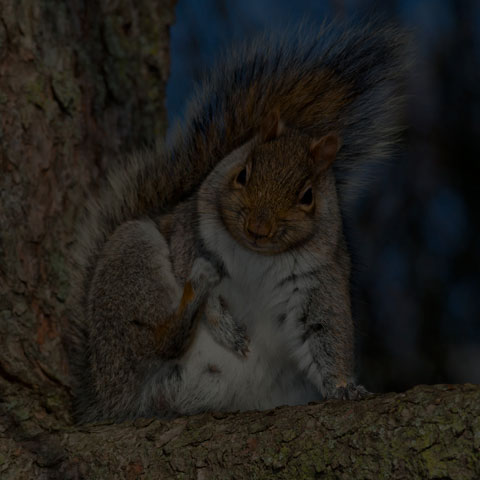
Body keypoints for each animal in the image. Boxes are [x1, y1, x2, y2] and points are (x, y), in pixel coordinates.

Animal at [65, 21, 406, 424]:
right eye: (243, 173)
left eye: (307, 196)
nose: (258, 229)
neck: (255, 256)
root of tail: (106, 401)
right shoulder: (188, 236)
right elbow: (192, 275)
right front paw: (228, 330)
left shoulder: (320, 277)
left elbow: (326, 331)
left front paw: (343, 388)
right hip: (130, 262)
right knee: (158, 340)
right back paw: (194, 297)